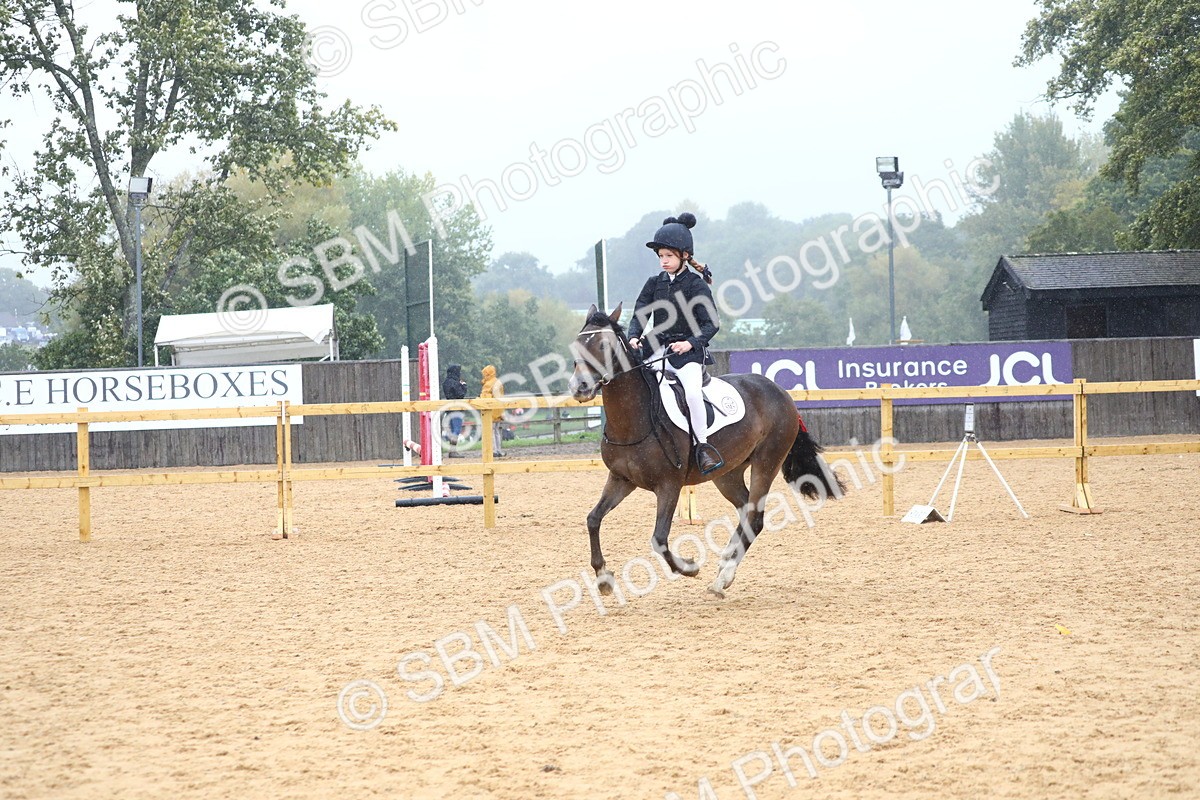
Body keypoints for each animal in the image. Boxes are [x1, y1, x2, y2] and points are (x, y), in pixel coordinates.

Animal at [568, 303, 844, 598]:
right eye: (577, 345)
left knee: (755, 518)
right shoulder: (621, 479)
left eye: (604, 345)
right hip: (727, 473)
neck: (635, 418)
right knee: (745, 508)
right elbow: (593, 519)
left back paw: (724, 578)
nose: (580, 387)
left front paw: (689, 567)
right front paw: (603, 578)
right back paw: (725, 560)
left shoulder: (669, 485)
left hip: (766, 462)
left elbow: (659, 539)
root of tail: (781, 392)